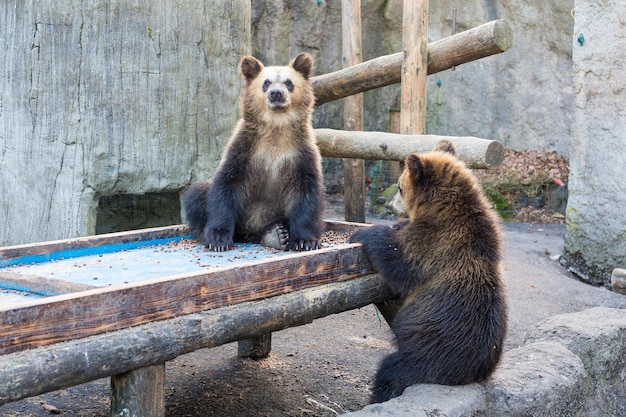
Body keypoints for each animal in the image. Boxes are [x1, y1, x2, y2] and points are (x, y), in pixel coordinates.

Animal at [183, 53, 324, 252]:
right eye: (266, 82)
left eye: (289, 82)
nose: (276, 93)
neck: (276, 127)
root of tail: (251, 231)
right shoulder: (245, 148)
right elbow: (227, 184)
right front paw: (218, 238)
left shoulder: (301, 152)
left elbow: (306, 192)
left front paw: (305, 241)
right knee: (196, 196)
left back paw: (276, 234)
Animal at [348, 141, 504, 404]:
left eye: (400, 187)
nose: (390, 205)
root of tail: (474, 374)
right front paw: (396, 224)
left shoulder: (436, 242)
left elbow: (399, 258)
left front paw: (363, 233)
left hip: (430, 352)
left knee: (392, 371)